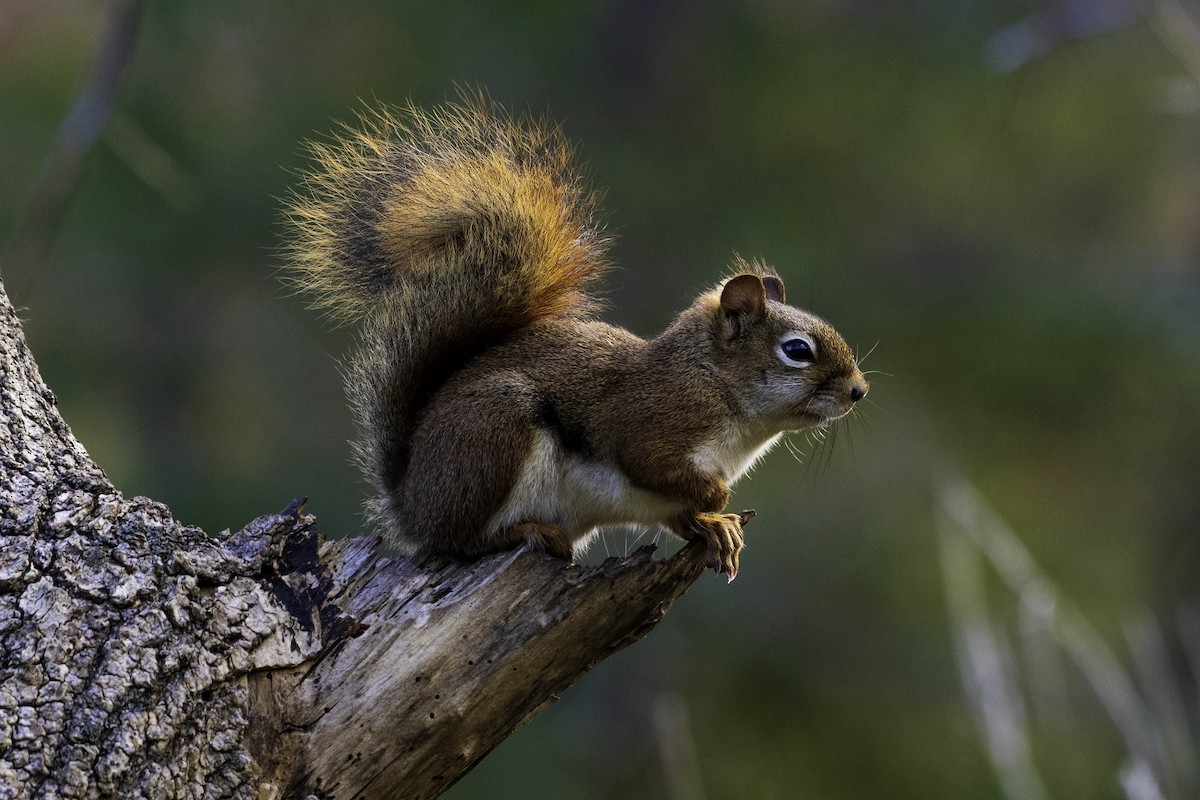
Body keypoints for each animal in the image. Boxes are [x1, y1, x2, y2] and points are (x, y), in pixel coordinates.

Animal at [284, 97, 868, 581]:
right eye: (797, 351)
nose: (859, 391)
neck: (724, 393)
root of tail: (410, 504)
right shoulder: (653, 419)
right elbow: (650, 460)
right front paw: (717, 496)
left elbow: (684, 518)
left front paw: (717, 526)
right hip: (495, 434)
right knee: (459, 541)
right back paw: (524, 531)